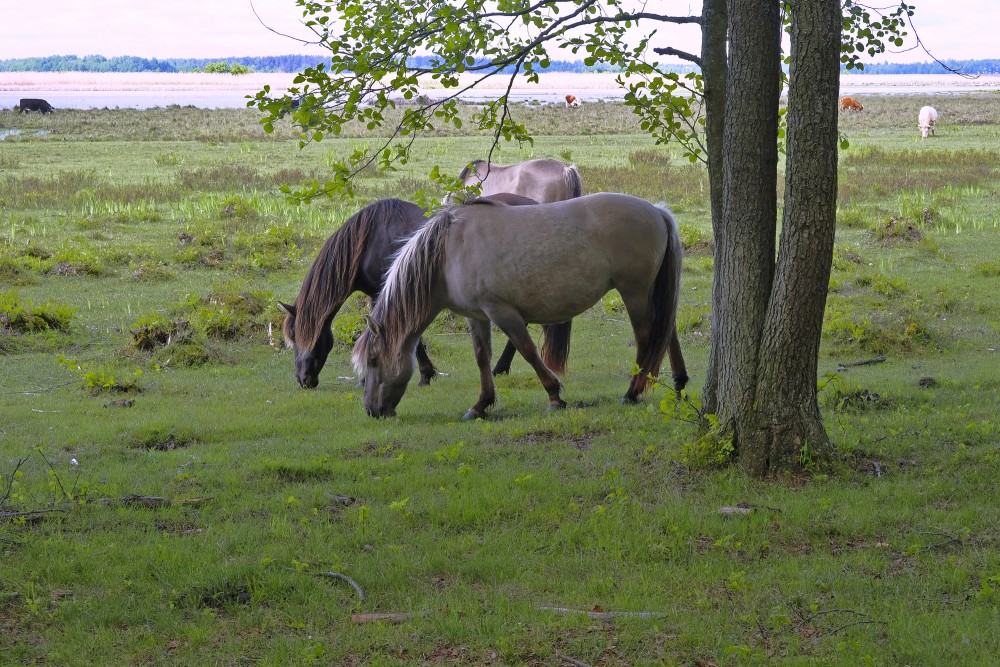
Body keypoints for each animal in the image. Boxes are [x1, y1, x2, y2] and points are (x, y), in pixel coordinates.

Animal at [282, 193, 568, 388]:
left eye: (298, 337)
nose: (303, 379)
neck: (369, 241)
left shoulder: (385, 293)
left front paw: (421, 374)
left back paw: (500, 368)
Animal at [352, 193, 688, 420]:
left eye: (373, 360)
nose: (371, 410)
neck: (449, 252)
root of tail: (657, 211)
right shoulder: (477, 316)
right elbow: (482, 357)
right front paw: (480, 405)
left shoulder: (502, 312)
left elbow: (528, 351)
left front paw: (554, 397)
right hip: (650, 292)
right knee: (667, 333)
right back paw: (679, 384)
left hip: (635, 292)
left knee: (647, 339)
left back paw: (632, 393)